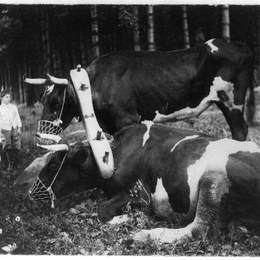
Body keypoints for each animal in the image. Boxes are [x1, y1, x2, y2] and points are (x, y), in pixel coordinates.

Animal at [15, 123, 260, 243]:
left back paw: (144, 235)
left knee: (198, 229)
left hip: (212, 180)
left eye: (54, 164)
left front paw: (123, 218)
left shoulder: (136, 192)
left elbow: (102, 210)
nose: (31, 193)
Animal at [24, 37, 254, 140]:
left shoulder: (127, 119)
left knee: (240, 131)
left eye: (55, 101)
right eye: (42, 100)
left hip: (232, 100)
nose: (39, 135)